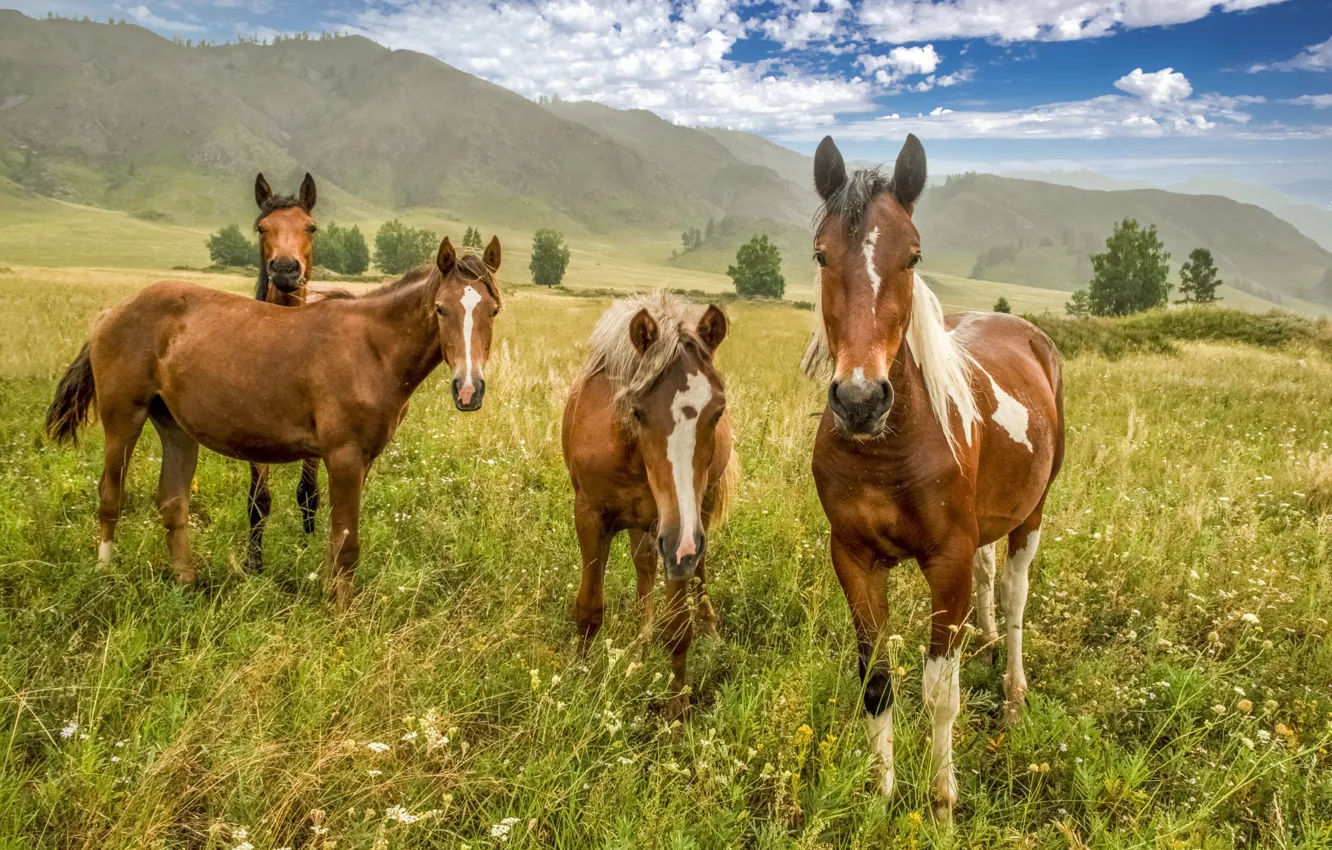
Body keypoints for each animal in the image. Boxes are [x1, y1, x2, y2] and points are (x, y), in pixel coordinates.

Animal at [45, 236, 503, 611]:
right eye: (441, 309)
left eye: (493, 310)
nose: (468, 389)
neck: (372, 349)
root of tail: (112, 312)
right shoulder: (344, 457)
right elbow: (346, 543)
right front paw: (342, 615)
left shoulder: (363, 460)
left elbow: (336, 541)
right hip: (123, 417)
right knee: (111, 495)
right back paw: (105, 575)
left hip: (175, 427)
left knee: (173, 502)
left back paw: (187, 582)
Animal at [562, 293, 738, 720]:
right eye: (638, 411)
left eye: (718, 411)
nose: (684, 541)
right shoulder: (590, 516)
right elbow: (589, 607)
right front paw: (578, 680)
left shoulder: (679, 529)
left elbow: (678, 627)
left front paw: (678, 709)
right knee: (644, 564)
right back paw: (641, 637)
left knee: (696, 575)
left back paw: (707, 627)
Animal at [802, 134, 1065, 820]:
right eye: (822, 254)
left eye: (913, 255)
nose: (860, 400)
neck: (887, 452)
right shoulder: (854, 559)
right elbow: (877, 683)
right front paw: (880, 792)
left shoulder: (945, 561)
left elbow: (940, 692)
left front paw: (943, 801)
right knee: (991, 577)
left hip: (1032, 514)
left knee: (1015, 595)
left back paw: (1013, 692)